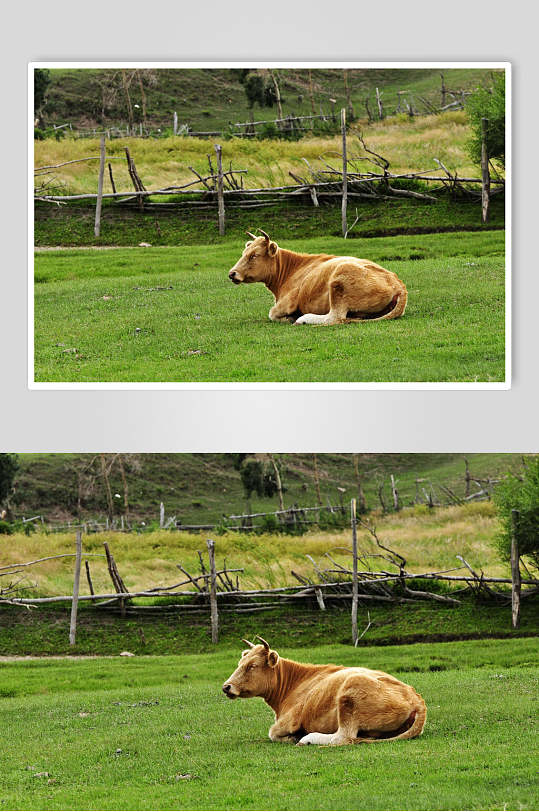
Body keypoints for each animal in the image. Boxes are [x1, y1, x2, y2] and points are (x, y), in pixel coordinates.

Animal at [223, 636, 426, 744]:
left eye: (252, 666)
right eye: (240, 663)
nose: (226, 687)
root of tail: (417, 700)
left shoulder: (287, 721)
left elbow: (272, 733)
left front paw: (293, 737)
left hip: (350, 692)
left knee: (343, 737)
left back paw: (307, 738)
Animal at [228, 228, 410, 326]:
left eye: (254, 255)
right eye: (244, 253)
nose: (232, 273)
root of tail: (398, 285)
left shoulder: (285, 303)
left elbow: (272, 313)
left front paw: (290, 317)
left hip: (339, 280)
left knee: (335, 317)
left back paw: (303, 319)